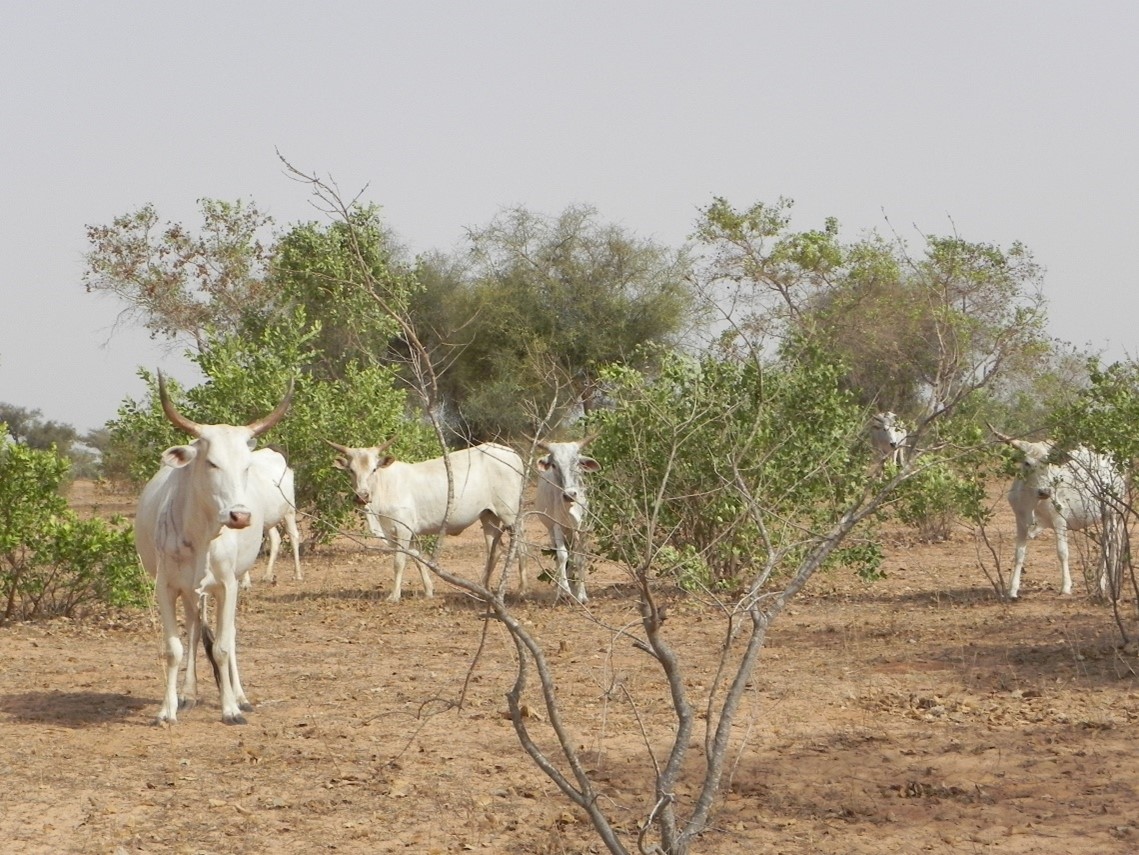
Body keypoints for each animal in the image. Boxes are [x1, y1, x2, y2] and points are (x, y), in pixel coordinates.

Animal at [240, 448, 302, 587]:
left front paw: (245, 582)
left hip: (289, 509)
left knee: (293, 535)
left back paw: (298, 574)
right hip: (268, 520)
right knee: (275, 539)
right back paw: (268, 575)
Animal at [330, 441, 523, 601]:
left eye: (374, 470)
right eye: (351, 470)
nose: (361, 496)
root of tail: (514, 454)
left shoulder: (402, 529)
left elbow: (399, 562)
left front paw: (394, 595)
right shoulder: (405, 532)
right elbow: (417, 558)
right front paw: (429, 591)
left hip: (510, 514)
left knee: (520, 545)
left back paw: (522, 589)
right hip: (488, 515)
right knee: (494, 550)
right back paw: (482, 590)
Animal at [535, 437, 601, 605]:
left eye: (577, 463)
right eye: (554, 464)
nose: (569, 494)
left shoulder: (583, 528)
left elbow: (580, 558)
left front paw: (582, 595)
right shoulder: (557, 525)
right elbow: (562, 555)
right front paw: (565, 592)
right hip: (552, 530)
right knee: (560, 558)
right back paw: (562, 589)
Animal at [993, 428, 1125, 601]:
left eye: (1048, 463)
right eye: (1027, 463)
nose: (1045, 491)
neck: (1033, 501)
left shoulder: (1059, 519)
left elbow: (1062, 552)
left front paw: (1066, 587)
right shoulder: (1020, 520)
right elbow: (1018, 554)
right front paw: (1013, 590)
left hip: (1114, 512)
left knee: (1112, 544)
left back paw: (1106, 582)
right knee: (1108, 543)